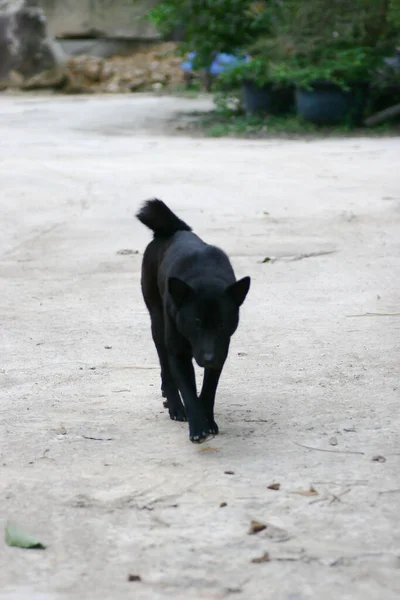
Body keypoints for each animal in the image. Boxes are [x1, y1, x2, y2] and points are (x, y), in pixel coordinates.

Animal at [138, 199, 250, 442]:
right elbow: (189, 391)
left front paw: (208, 420)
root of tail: (172, 229)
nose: (208, 358)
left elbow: (208, 390)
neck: (204, 276)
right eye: (196, 322)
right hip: (158, 323)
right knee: (165, 367)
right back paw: (175, 405)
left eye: (221, 324)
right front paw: (198, 426)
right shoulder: (179, 353)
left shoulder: (221, 350)